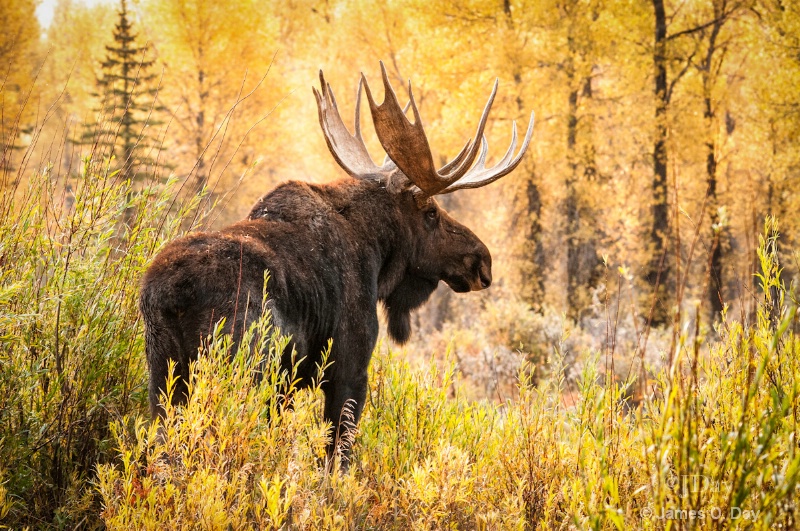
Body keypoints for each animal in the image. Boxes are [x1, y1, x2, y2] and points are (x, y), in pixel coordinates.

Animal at [141, 61, 536, 462]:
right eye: (430, 213)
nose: (483, 262)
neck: (378, 256)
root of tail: (169, 295)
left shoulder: (288, 384)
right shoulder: (349, 365)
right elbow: (338, 455)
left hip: (164, 372)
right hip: (239, 366)